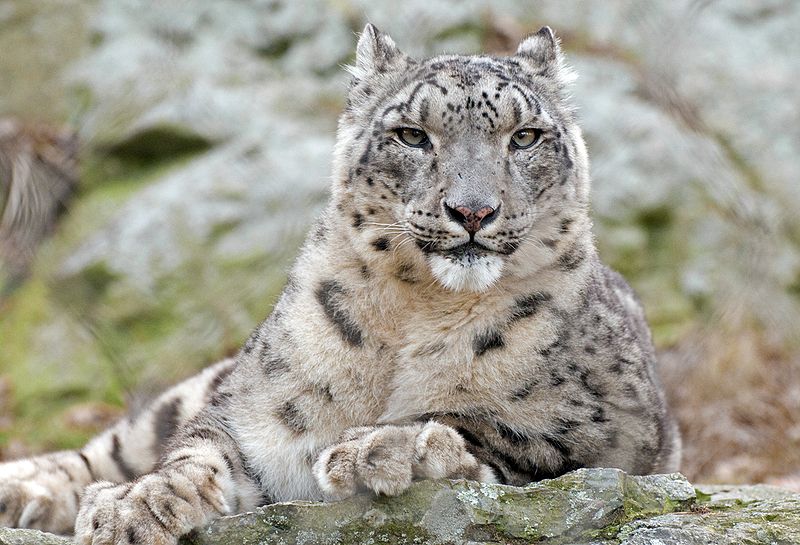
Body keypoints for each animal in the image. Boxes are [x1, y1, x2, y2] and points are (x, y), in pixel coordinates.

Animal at [0, 24, 680, 540]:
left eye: (526, 136)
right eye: (412, 135)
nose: (473, 211)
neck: (418, 309)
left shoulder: (612, 425)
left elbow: (494, 425)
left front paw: (382, 449)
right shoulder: (254, 417)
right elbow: (199, 451)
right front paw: (135, 506)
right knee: (119, 442)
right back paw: (25, 491)